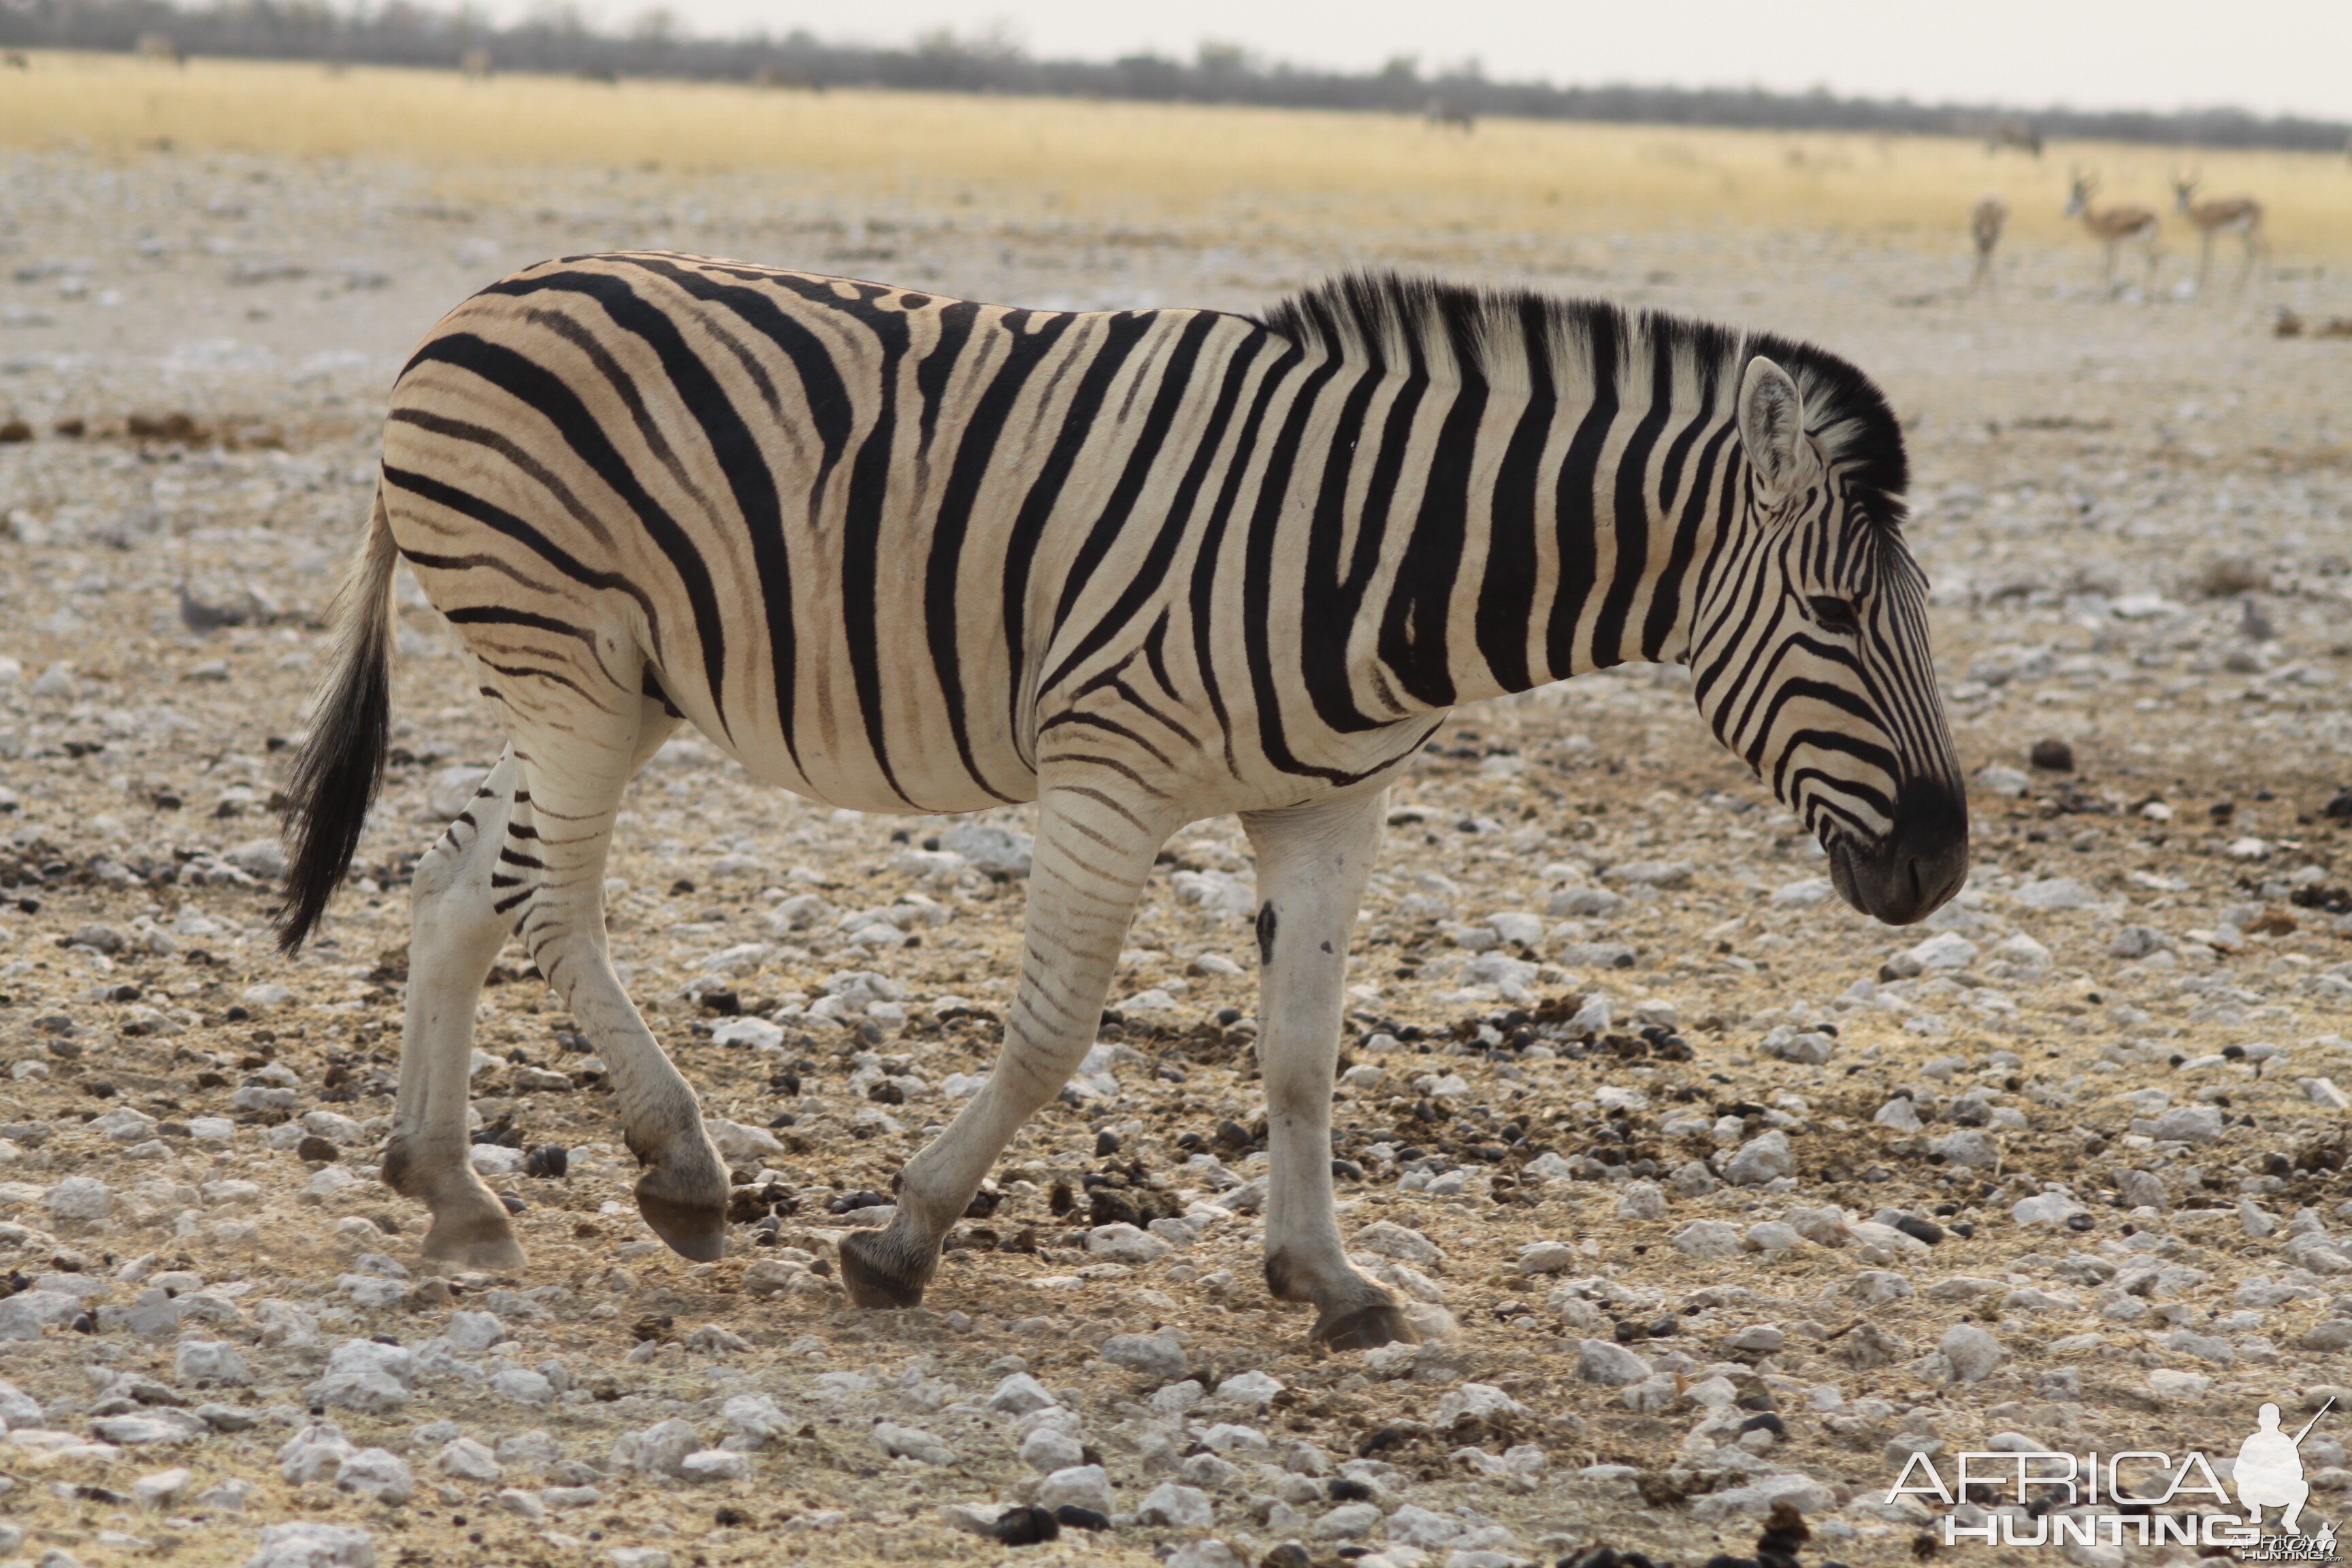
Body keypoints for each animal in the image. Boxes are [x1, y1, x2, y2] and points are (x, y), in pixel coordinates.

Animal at [275, 255, 1966, 1354]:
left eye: (1925, 612)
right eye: (1830, 615)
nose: (1941, 867)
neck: (1383, 554)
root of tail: (479, 304)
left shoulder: (1328, 806)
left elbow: (1304, 1055)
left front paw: (1326, 1279)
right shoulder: (1109, 772)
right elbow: (1050, 1035)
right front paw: (901, 1239)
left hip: (595, 686)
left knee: (456, 889)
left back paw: (450, 1188)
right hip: (569, 661)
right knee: (545, 896)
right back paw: (679, 1169)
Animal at [1966, 193, 2004, 291]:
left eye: (1993, 223)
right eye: (1981, 221)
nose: (1986, 237)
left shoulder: (1992, 245)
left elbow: (1988, 263)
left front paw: (1988, 284)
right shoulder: (1978, 244)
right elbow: (1979, 263)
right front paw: (1973, 285)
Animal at [2070, 172, 2154, 293]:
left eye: (2078, 201)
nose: (2066, 212)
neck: (2101, 222)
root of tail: (2152, 215)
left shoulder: (2112, 242)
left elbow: (2109, 265)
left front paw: (2105, 290)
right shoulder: (2110, 243)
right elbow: (2108, 264)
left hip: (2139, 242)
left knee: (2149, 259)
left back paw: (2146, 291)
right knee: (2153, 259)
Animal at [2163, 175, 2257, 291]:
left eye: (2187, 196)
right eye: (2177, 195)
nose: (2176, 210)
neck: (2202, 214)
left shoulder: (2212, 233)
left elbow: (2208, 255)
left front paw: (2204, 283)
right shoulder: (2205, 235)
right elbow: (2204, 254)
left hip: (2250, 231)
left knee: (2256, 250)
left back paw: (2239, 285)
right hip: (2244, 233)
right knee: (2253, 250)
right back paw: (2238, 284)